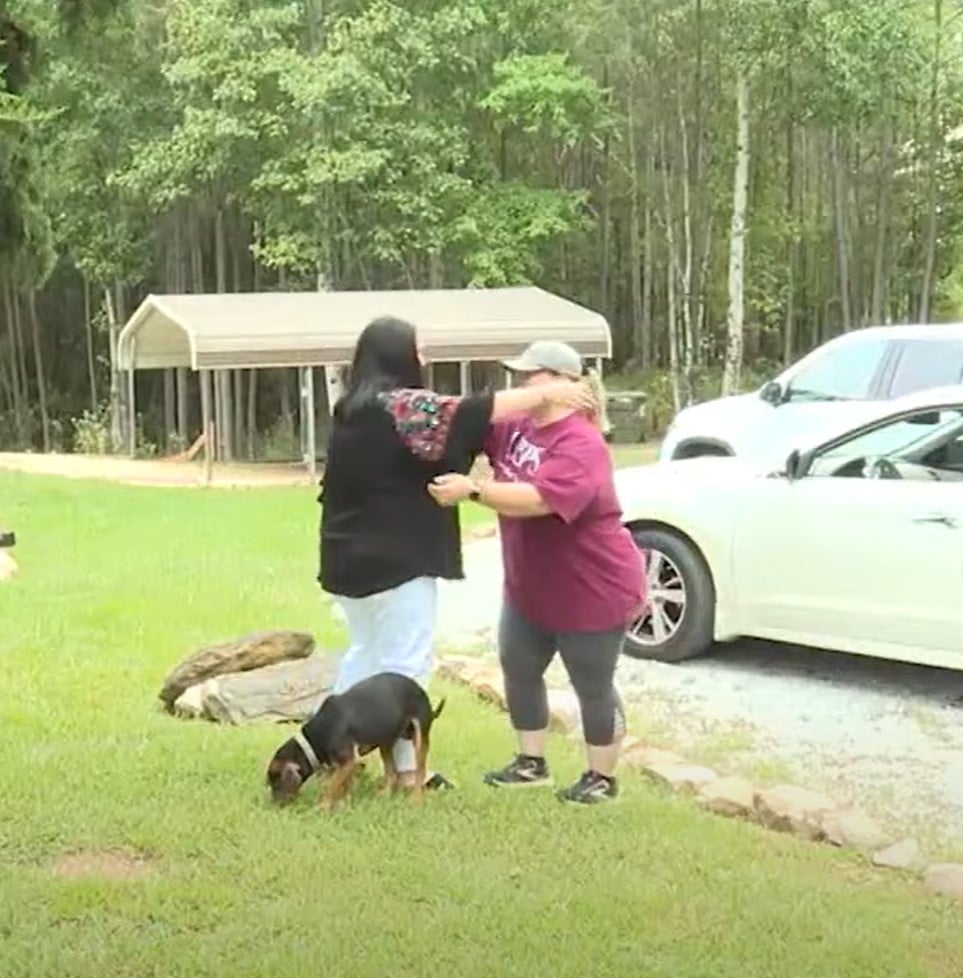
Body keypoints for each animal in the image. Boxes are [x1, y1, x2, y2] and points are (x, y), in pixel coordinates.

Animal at [264, 672, 444, 808]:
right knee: (392, 773)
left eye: (276, 782)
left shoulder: (347, 761)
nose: (275, 805)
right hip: (385, 741)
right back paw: (384, 795)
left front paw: (322, 807)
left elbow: (330, 787)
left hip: (420, 737)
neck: (318, 734)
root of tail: (419, 688)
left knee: (420, 771)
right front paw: (343, 804)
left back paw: (416, 800)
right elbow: (342, 786)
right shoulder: (344, 765)